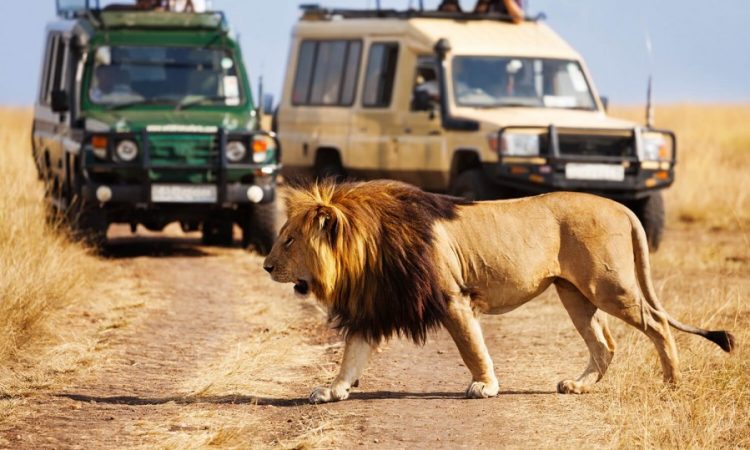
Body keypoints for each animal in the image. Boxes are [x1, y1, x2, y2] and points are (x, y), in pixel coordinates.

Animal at [263, 180, 735, 404]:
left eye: (288, 240)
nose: (266, 266)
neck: (366, 251)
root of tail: (621, 206)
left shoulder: (453, 298)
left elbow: (472, 347)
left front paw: (485, 386)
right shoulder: (373, 308)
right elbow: (351, 356)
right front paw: (332, 390)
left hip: (608, 285)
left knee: (657, 323)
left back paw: (672, 382)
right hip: (574, 293)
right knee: (605, 344)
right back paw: (578, 386)